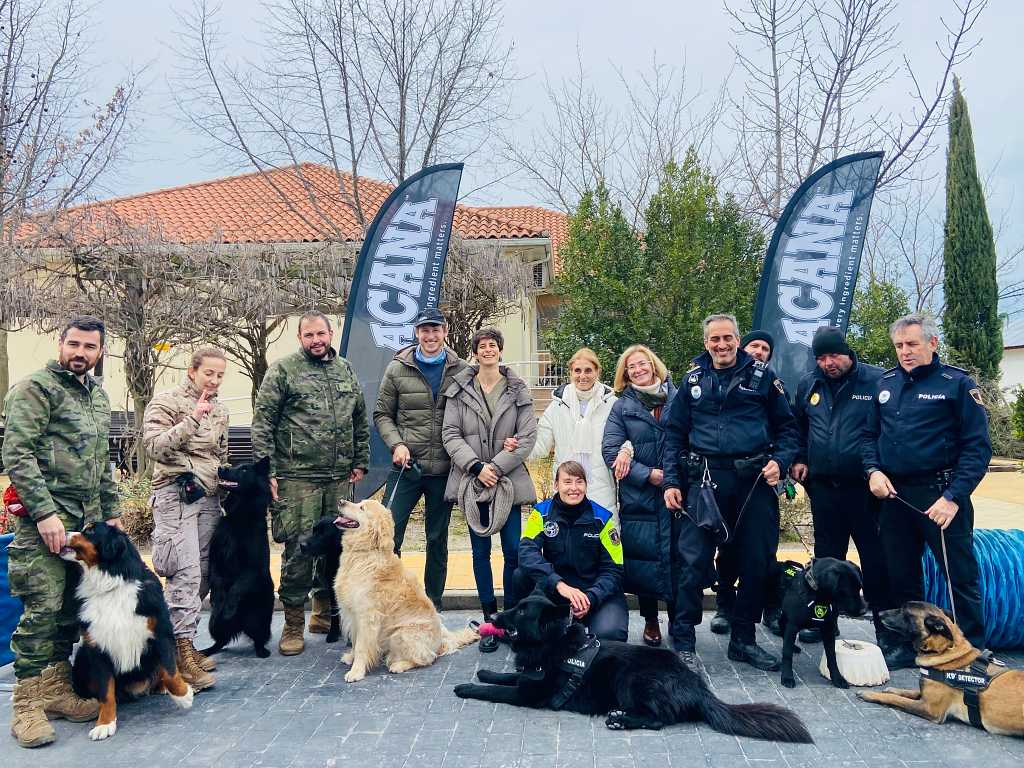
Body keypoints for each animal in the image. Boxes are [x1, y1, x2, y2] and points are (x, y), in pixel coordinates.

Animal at [60, 524, 194, 741]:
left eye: (89, 531)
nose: (63, 530)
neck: (111, 585)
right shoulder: (96, 648)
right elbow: (106, 692)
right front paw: (105, 724)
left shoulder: (160, 632)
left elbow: (170, 671)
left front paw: (184, 696)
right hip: (81, 657)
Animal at [456, 593, 815, 741]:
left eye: (519, 612)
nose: (493, 617)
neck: (553, 643)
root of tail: (698, 687)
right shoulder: (528, 678)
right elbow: (505, 675)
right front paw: (485, 672)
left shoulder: (529, 694)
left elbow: (492, 691)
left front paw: (466, 686)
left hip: (630, 679)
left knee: (658, 720)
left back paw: (621, 720)